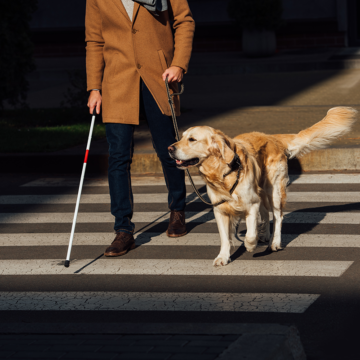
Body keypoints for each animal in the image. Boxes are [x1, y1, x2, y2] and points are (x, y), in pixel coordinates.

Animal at [169, 105, 358, 266]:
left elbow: (250, 233)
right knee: (266, 214)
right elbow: (225, 237)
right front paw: (223, 256)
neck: (223, 173)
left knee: (278, 216)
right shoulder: (220, 210)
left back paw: (274, 242)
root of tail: (272, 137)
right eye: (182, 137)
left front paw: (250, 245)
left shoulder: (251, 204)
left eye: (192, 139)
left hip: (273, 190)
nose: (169, 148)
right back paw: (266, 235)